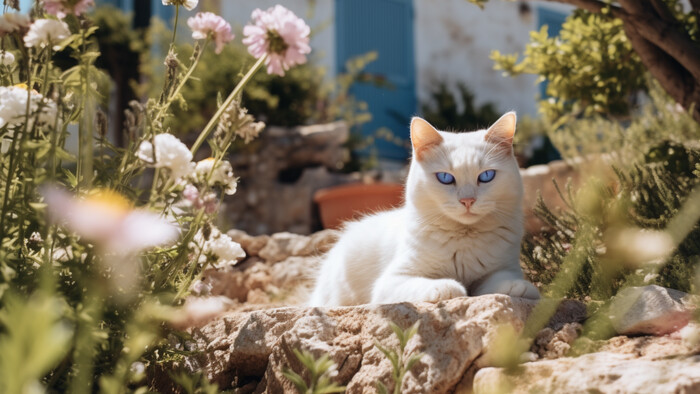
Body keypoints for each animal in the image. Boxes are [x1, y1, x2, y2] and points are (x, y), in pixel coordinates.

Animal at [308, 112, 540, 306]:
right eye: (445, 178)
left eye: (486, 176)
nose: (467, 200)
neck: (464, 237)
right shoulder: (393, 280)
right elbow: (430, 283)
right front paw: (449, 286)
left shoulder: (503, 268)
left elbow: (499, 280)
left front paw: (521, 287)